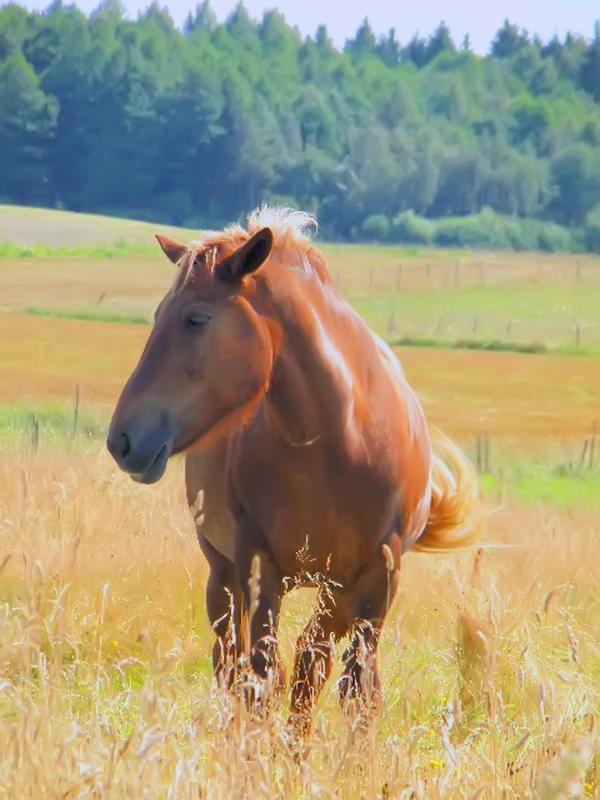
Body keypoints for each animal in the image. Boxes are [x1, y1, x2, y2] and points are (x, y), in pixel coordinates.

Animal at [106, 205, 482, 736]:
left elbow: (344, 682)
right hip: (224, 576)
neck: (340, 439)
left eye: (196, 319)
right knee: (232, 664)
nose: (122, 440)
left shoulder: (373, 579)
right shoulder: (262, 569)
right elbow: (268, 676)